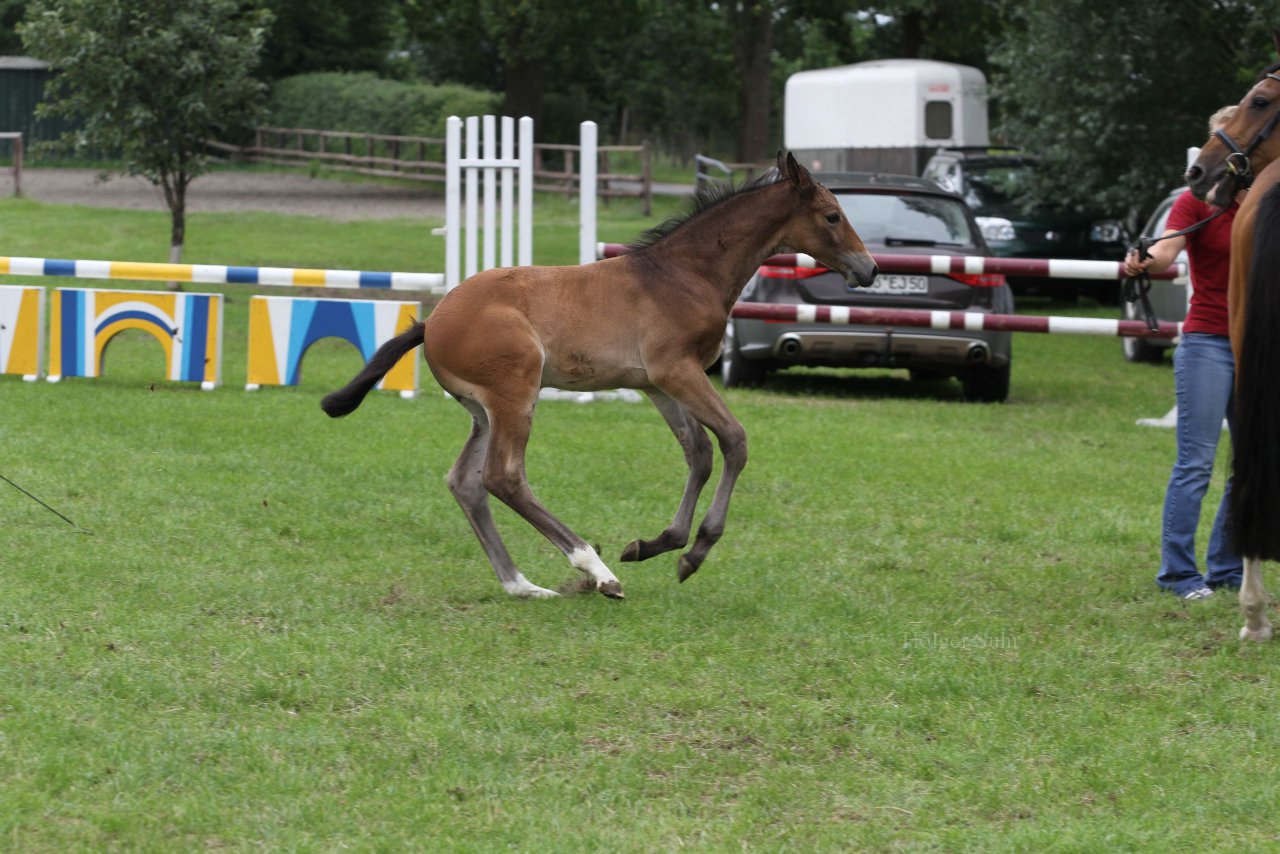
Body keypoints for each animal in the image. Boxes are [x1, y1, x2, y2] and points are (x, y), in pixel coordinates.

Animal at [320, 155, 880, 601]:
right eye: (832, 216)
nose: (870, 268)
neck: (683, 275)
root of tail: (431, 321)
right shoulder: (677, 370)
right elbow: (734, 441)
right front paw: (694, 552)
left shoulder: (659, 383)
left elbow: (698, 453)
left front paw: (658, 545)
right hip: (515, 393)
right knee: (503, 476)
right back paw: (597, 570)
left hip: (482, 410)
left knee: (466, 482)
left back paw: (523, 586)